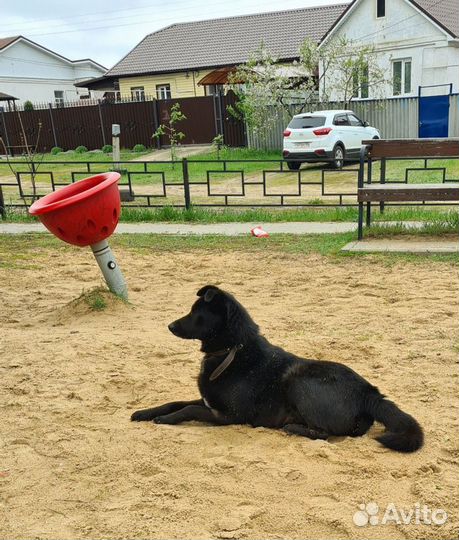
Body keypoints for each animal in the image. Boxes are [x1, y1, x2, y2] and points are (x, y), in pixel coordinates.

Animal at [130, 284, 424, 454]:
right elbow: (175, 402)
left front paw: (166, 420)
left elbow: (188, 410)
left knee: (325, 434)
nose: (169, 325)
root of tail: (370, 393)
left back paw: (292, 427)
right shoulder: (207, 400)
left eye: (195, 312)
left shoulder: (230, 415)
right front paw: (145, 412)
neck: (232, 350)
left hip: (298, 379)